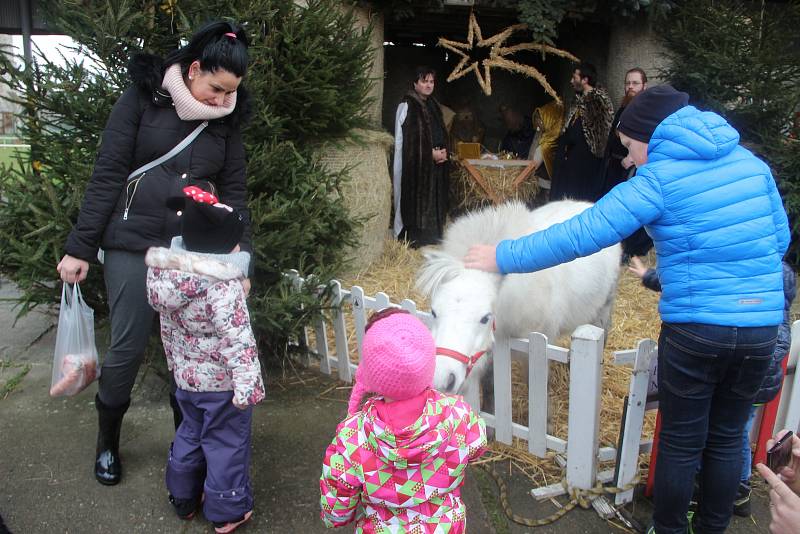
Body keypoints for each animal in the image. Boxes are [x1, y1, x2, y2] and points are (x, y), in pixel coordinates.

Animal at [416, 201, 620, 402]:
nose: (441, 379)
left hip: (603, 311)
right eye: (433, 312)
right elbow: (490, 388)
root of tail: (586, 204)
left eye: (485, 318)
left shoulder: (537, 351)